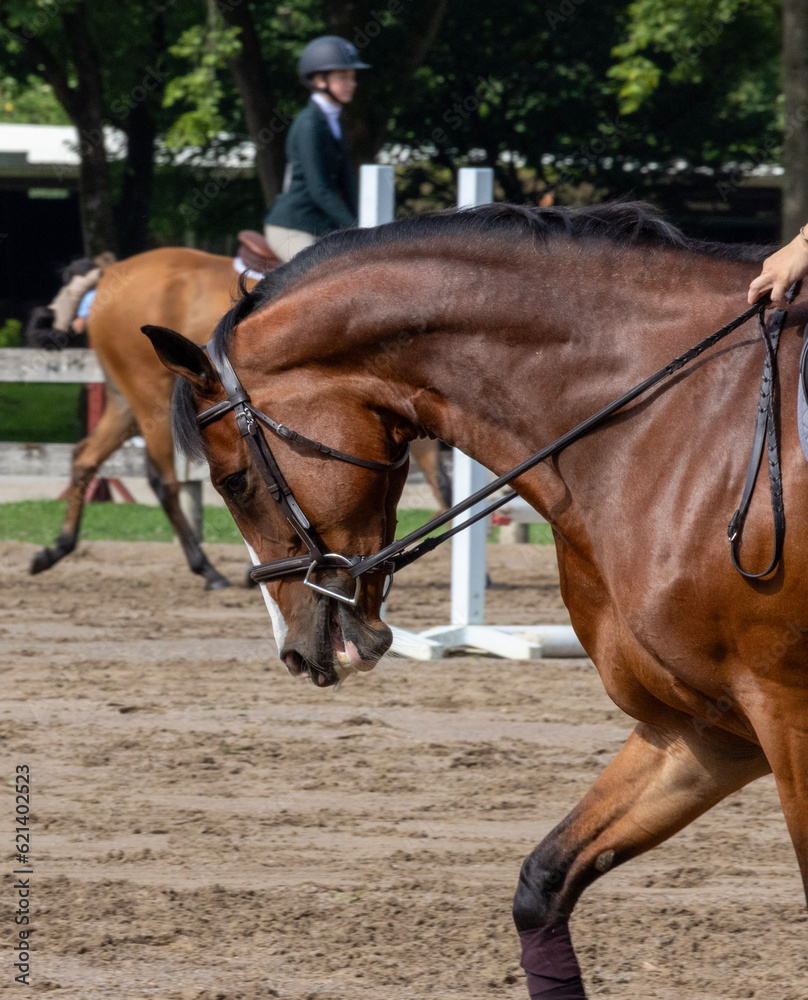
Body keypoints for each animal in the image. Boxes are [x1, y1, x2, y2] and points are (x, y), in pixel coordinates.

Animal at [29, 245, 451, 589]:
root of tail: (111, 274)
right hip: (150, 398)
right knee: (162, 480)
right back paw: (207, 569)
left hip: (125, 401)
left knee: (86, 457)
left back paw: (56, 549)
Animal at [143, 202, 808, 997]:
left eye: (234, 481)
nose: (297, 651)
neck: (668, 421)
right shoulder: (707, 726)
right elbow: (542, 883)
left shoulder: (786, 714)